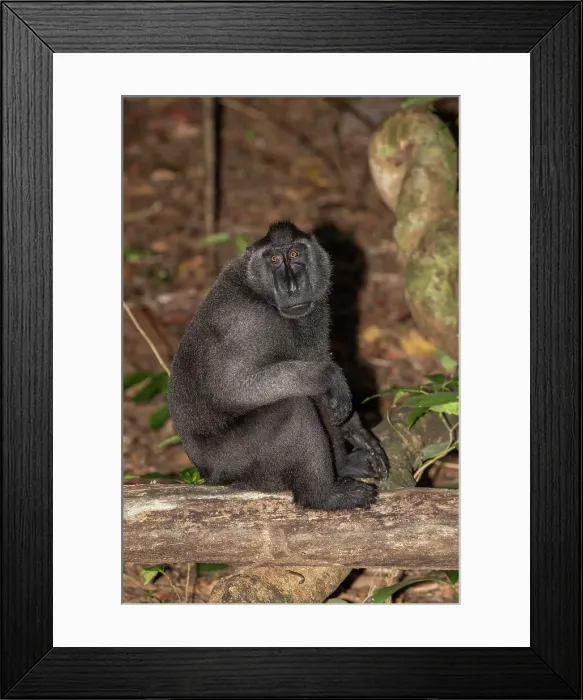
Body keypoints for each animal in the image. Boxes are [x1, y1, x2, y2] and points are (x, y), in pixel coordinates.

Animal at [167, 221, 388, 510]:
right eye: (273, 259)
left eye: (295, 254)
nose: (292, 286)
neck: (259, 294)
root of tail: (209, 474)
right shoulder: (246, 323)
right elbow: (231, 389)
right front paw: (331, 377)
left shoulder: (317, 311)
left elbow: (319, 361)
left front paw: (359, 432)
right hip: (239, 465)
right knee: (294, 406)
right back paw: (322, 496)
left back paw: (344, 467)